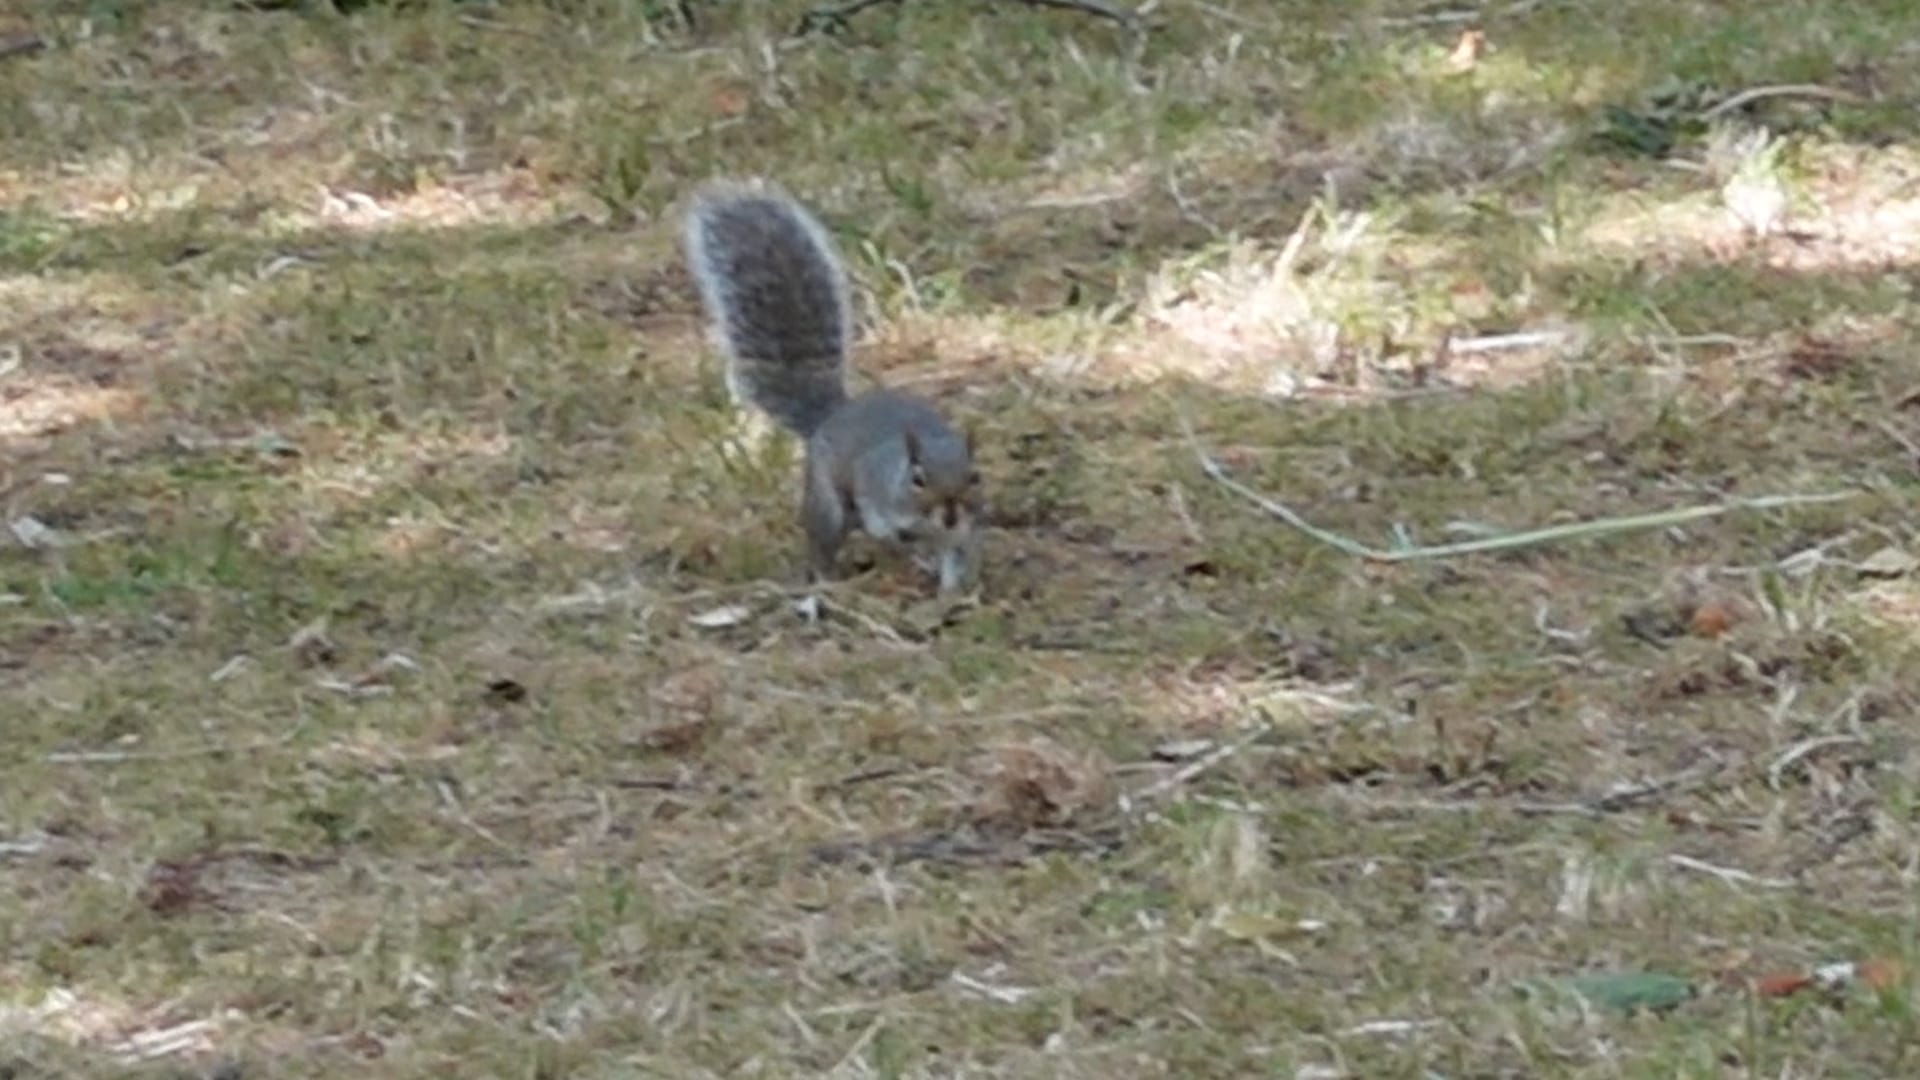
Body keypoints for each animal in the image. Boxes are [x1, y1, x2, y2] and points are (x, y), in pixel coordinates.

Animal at [681, 178, 984, 595]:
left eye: (974, 476)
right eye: (917, 478)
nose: (951, 513)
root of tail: (833, 414)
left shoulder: (959, 536)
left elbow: (954, 562)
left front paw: (951, 596)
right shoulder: (874, 493)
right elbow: (884, 528)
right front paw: (905, 544)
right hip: (826, 504)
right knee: (824, 541)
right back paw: (827, 579)